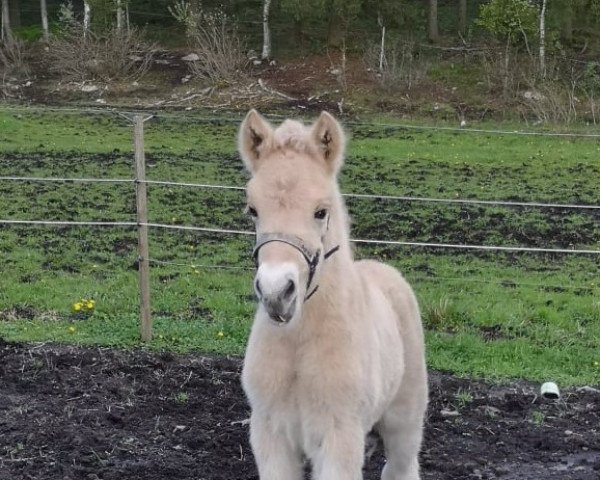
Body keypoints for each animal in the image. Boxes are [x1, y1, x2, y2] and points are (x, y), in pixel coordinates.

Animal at [239, 110, 426, 478]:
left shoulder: (339, 437)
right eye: (253, 210)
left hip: (406, 419)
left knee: (401, 467)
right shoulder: (270, 433)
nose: (276, 293)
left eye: (320, 211)